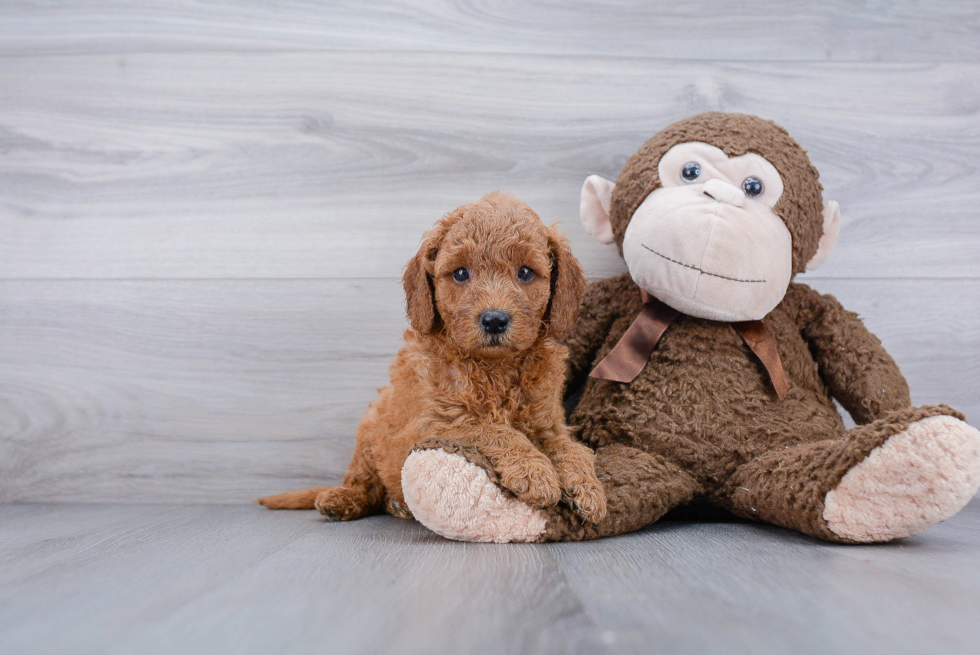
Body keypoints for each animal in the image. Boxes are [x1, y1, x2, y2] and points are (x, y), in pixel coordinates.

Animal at [255, 192, 604, 524]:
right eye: (460, 273)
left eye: (526, 272)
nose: (494, 320)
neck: (494, 367)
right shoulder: (435, 424)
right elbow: (494, 430)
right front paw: (536, 472)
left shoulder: (549, 425)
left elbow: (571, 448)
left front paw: (588, 487)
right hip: (369, 430)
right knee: (365, 485)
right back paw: (342, 499)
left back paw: (398, 506)